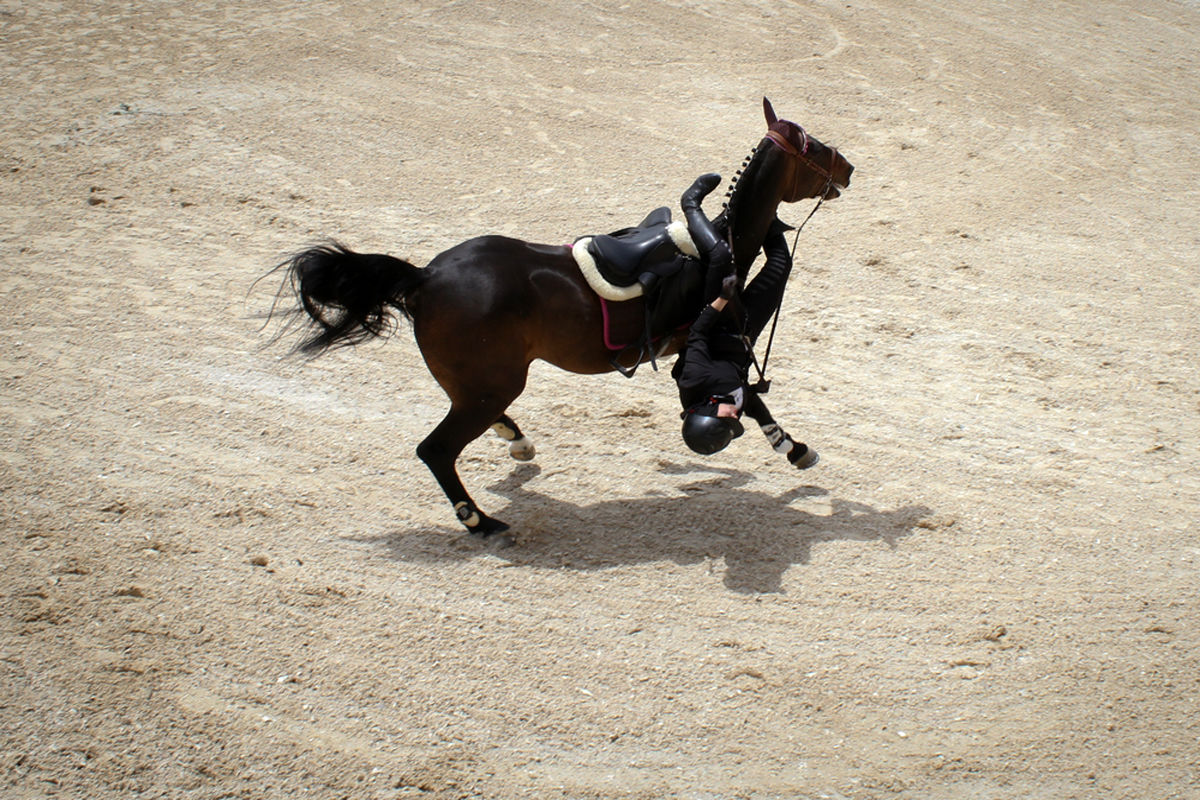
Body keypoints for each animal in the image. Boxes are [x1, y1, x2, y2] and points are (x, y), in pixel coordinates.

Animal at [270, 100, 854, 537]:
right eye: (815, 146)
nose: (849, 168)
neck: (720, 239)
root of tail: (424, 276)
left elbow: (750, 397)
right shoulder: (703, 345)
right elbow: (751, 397)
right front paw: (796, 449)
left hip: (482, 383)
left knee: (469, 422)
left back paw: (515, 443)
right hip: (495, 382)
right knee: (435, 449)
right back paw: (480, 521)